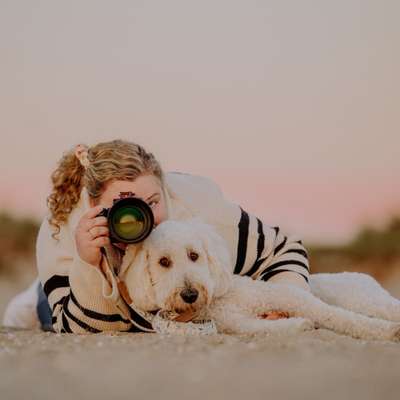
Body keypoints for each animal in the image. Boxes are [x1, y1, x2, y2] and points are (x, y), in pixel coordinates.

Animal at [119, 219, 400, 340]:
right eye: (163, 262)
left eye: (194, 255)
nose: (190, 294)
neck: (220, 299)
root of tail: (361, 275)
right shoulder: (234, 323)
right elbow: (262, 328)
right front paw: (300, 325)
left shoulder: (287, 296)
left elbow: (336, 316)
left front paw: (384, 331)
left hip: (366, 299)